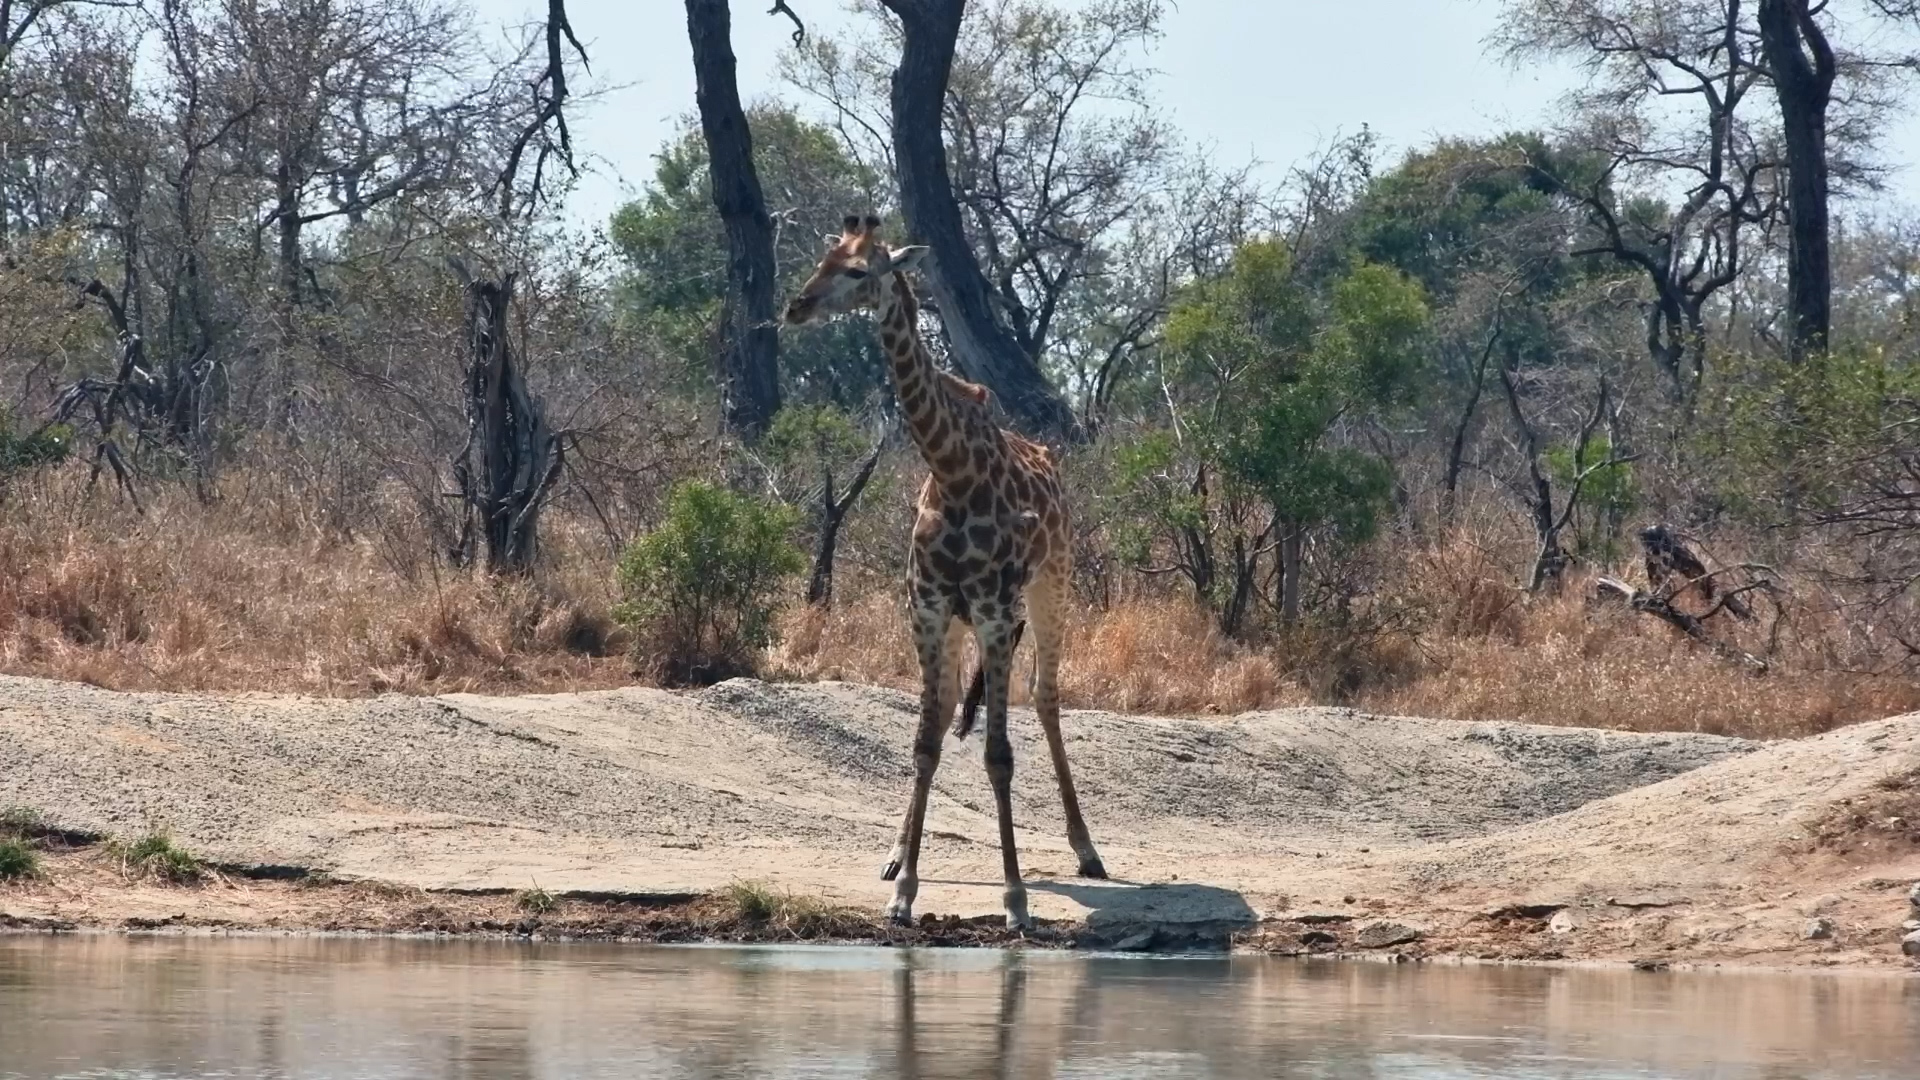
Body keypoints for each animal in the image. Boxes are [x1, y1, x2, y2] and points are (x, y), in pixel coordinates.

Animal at [783, 214, 1105, 929]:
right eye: (822, 259)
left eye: (858, 270)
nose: (795, 307)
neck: (953, 471)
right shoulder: (928, 609)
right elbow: (925, 742)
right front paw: (903, 889)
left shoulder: (993, 612)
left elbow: (998, 754)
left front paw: (1016, 900)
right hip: (965, 619)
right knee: (956, 706)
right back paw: (895, 855)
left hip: (1053, 586)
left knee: (1046, 697)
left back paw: (1087, 850)